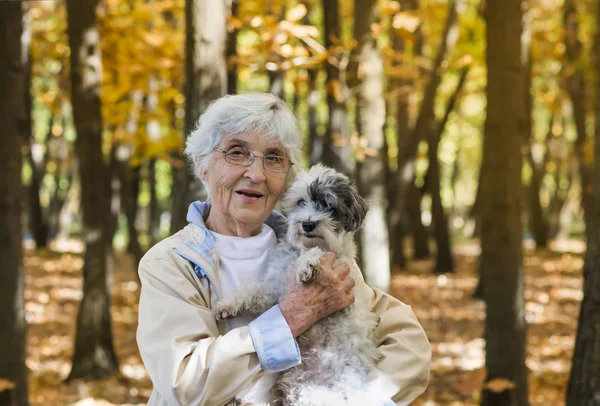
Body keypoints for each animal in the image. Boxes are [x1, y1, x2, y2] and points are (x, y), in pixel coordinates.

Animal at [216, 165, 382, 406]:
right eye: (301, 202)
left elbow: (316, 254)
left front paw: (307, 264)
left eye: (329, 205)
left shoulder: (346, 298)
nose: (308, 223)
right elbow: (251, 291)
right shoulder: (274, 292)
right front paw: (226, 304)